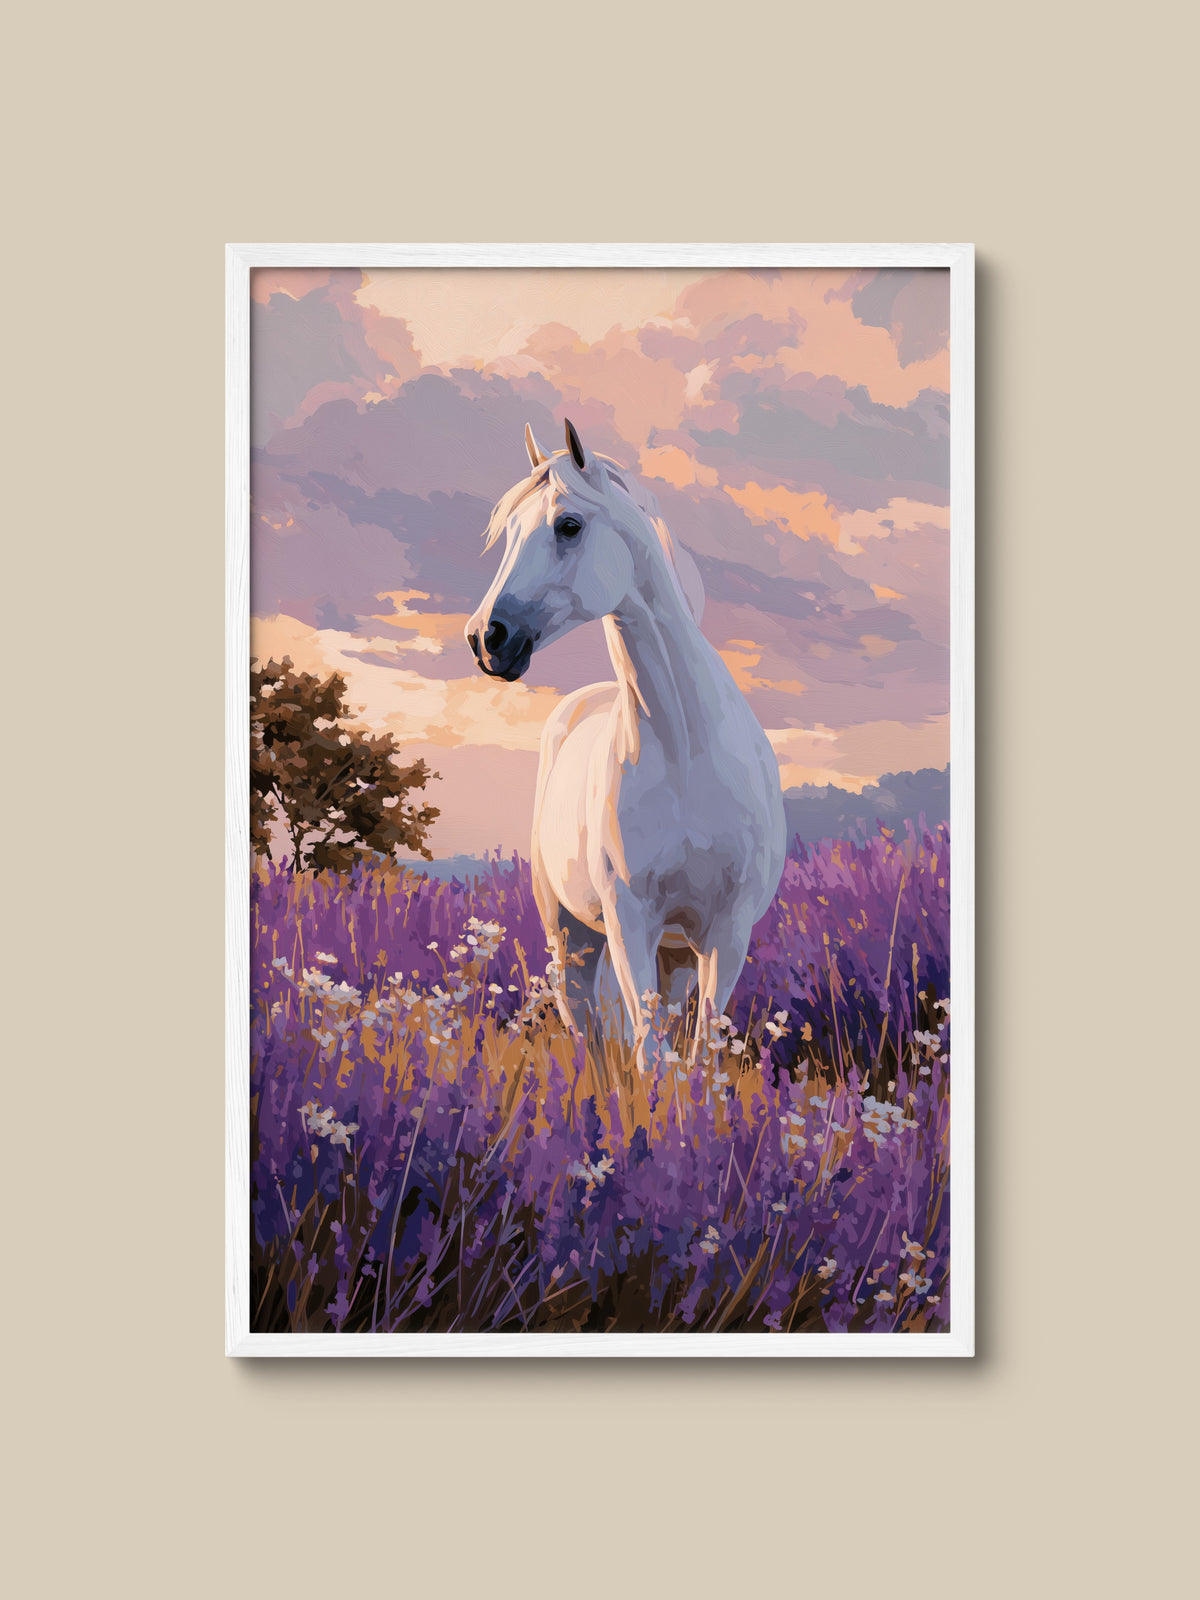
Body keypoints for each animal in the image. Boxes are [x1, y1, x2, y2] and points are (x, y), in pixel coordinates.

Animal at [465, 418, 786, 1065]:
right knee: (586, 1033)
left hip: (676, 955)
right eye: (508, 532)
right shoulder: (630, 922)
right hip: (574, 939)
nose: (486, 638)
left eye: (568, 525)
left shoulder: (725, 933)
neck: (688, 753)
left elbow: (700, 1055)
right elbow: (648, 1054)